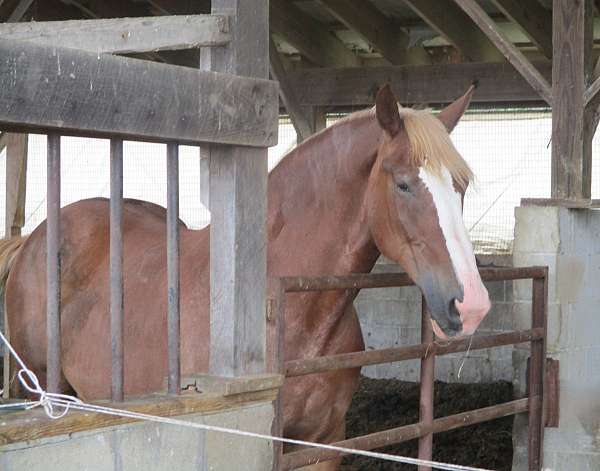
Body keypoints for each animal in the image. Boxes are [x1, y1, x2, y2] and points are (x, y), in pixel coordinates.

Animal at [1, 85, 488, 471]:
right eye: (404, 184)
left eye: (461, 186)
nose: (472, 305)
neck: (285, 309)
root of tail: (33, 239)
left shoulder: (323, 443)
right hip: (45, 391)